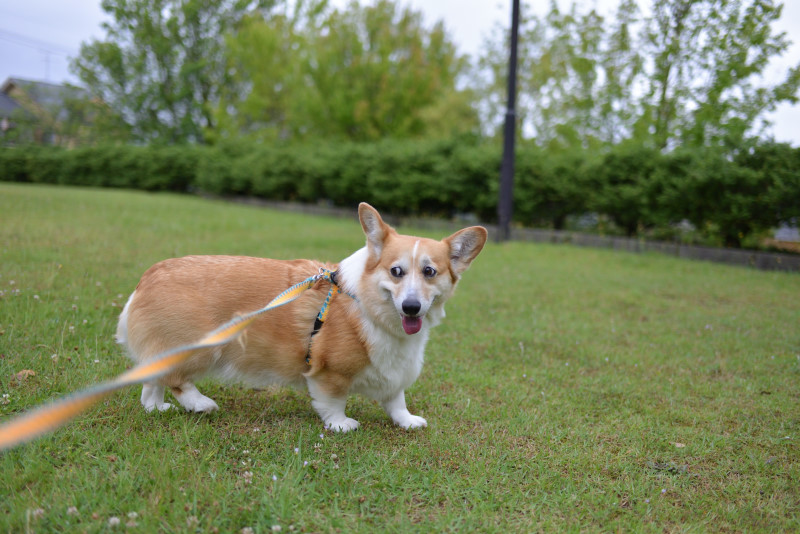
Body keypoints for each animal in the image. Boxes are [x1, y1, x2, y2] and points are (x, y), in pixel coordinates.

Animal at [115, 203, 484, 434]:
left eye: (429, 272)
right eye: (396, 271)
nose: (411, 307)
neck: (368, 304)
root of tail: (146, 279)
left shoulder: (393, 372)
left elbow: (396, 400)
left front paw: (407, 421)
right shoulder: (329, 373)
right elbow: (333, 401)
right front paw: (340, 424)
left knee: (151, 384)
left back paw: (157, 409)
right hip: (202, 347)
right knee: (176, 379)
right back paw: (200, 404)